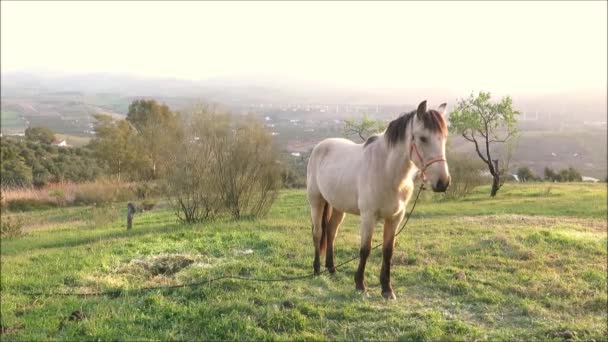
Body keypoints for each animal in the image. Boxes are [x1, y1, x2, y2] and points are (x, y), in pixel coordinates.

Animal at [306, 99, 448, 300]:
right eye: (422, 138)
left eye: (444, 137)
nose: (443, 182)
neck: (386, 170)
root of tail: (320, 146)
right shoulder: (368, 216)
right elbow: (365, 249)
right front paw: (360, 285)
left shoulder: (395, 218)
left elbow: (388, 251)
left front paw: (387, 289)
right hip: (316, 202)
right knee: (318, 233)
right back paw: (317, 270)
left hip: (338, 206)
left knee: (331, 232)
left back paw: (332, 269)